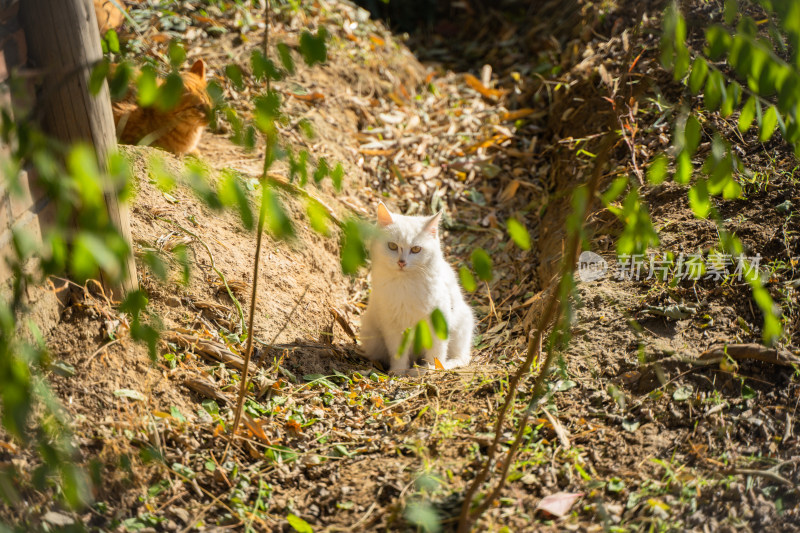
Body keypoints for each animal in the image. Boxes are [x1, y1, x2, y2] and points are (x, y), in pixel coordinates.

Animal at [358, 203, 476, 374]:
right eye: (392, 246)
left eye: (416, 249)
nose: (401, 262)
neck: (405, 283)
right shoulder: (393, 326)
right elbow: (398, 352)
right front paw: (398, 372)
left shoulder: (437, 321)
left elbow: (436, 350)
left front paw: (432, 368)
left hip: (463, 324)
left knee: (463, 358)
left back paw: (444, 365)